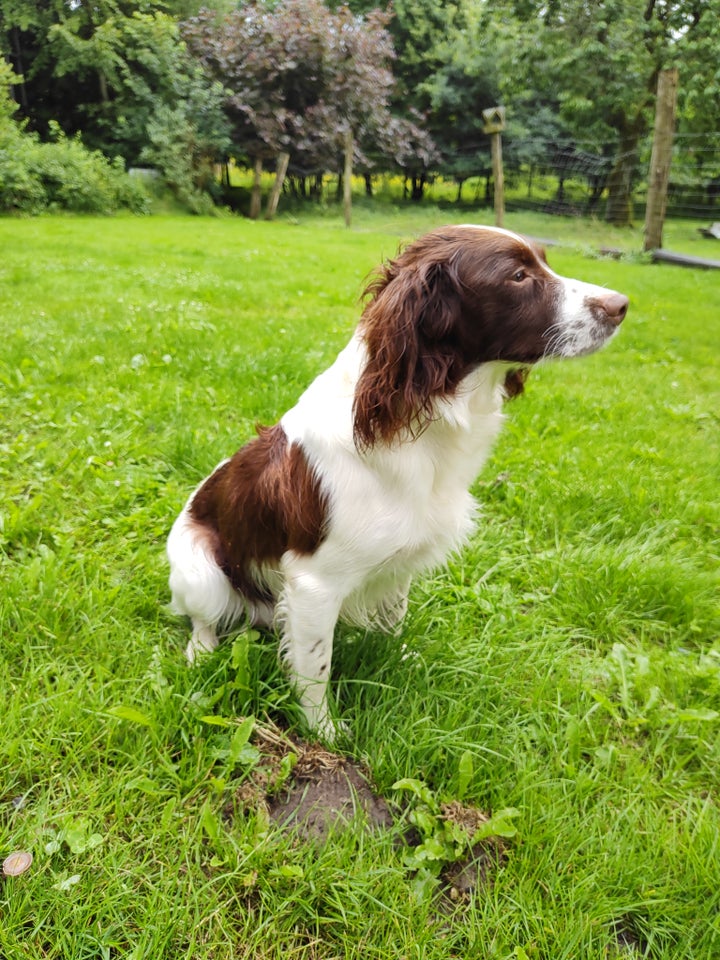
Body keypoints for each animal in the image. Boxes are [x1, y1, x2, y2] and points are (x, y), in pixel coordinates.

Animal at [166, 223, 628, 736]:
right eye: (518, 276)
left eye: (544, 263)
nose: (621, 305)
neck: (424, 408)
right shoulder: (313, 583)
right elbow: (315, 668)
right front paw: (323, 731)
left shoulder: (399, 563)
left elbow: (392, 620)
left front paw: (397, 661)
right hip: (199, 568)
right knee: (203, 617)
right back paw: (201, 651)